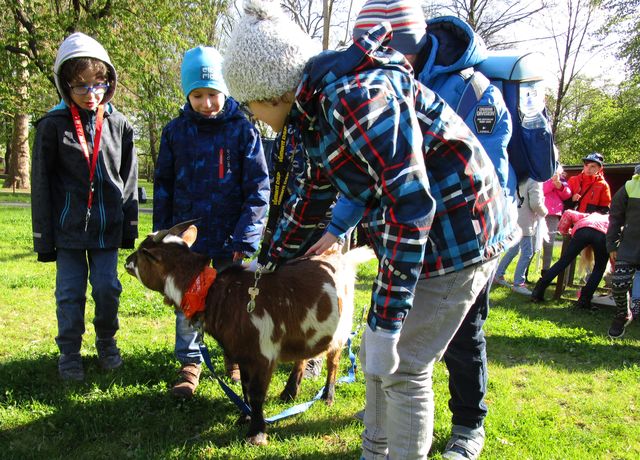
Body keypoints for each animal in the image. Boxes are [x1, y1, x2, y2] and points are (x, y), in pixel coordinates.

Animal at [124, 221, 376, 444]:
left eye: (142, 252)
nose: (126, 260)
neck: (213, 293)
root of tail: (340, 257)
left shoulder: (263, 354)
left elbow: (256, 393)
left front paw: (257, 433)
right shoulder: (241, 353)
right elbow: (245, 387)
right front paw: (244, 417)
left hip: (342, 327)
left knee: (333, 360)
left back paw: (327, 396)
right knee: (303, 356)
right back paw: (290, 392)